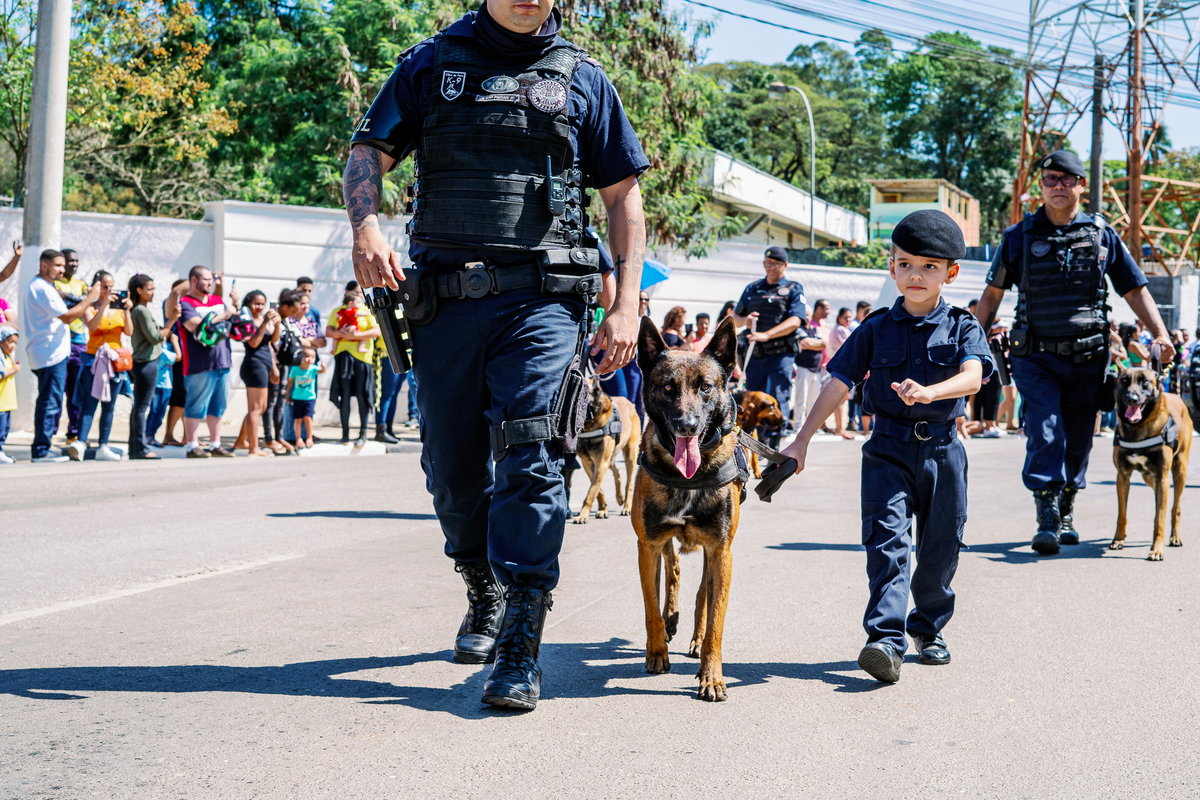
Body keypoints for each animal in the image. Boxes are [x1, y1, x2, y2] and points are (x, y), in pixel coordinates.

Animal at [573, 376, 643, 522]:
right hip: (609, 460)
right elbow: (597, 489)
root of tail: (628, 401)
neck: (590, 424)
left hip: (630, 455)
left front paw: (583, 515)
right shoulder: (588, 463)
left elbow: (591, 491)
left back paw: (627, 507)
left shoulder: (601, 463)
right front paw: (602, 509)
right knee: (617, 471)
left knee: (629, 483)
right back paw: (619, 498)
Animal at [628, 316, 739, 705]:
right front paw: (657, 651)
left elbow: (715, 618)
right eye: (667, 387)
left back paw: (693, 637)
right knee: (673, 568)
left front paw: (712, 676)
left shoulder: (721, 551)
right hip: (660, 541)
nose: (687, 426)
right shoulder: (646, 545)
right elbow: (650, 606)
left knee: (702, 592)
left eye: (705, 387)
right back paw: (671, 621)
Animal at [1108, 367, 1195, 561]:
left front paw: (1156, 549)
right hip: (1149, 477)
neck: (1138, 428)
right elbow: (1122, 514)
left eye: (1144, 382)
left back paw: (1175, 537)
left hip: (1179, 472)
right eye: (1124, 381)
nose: (1131, 399)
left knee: (1175, 507)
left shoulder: (1162, 477)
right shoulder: (1122, 477)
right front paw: (1118, 539)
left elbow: (1159, 517)